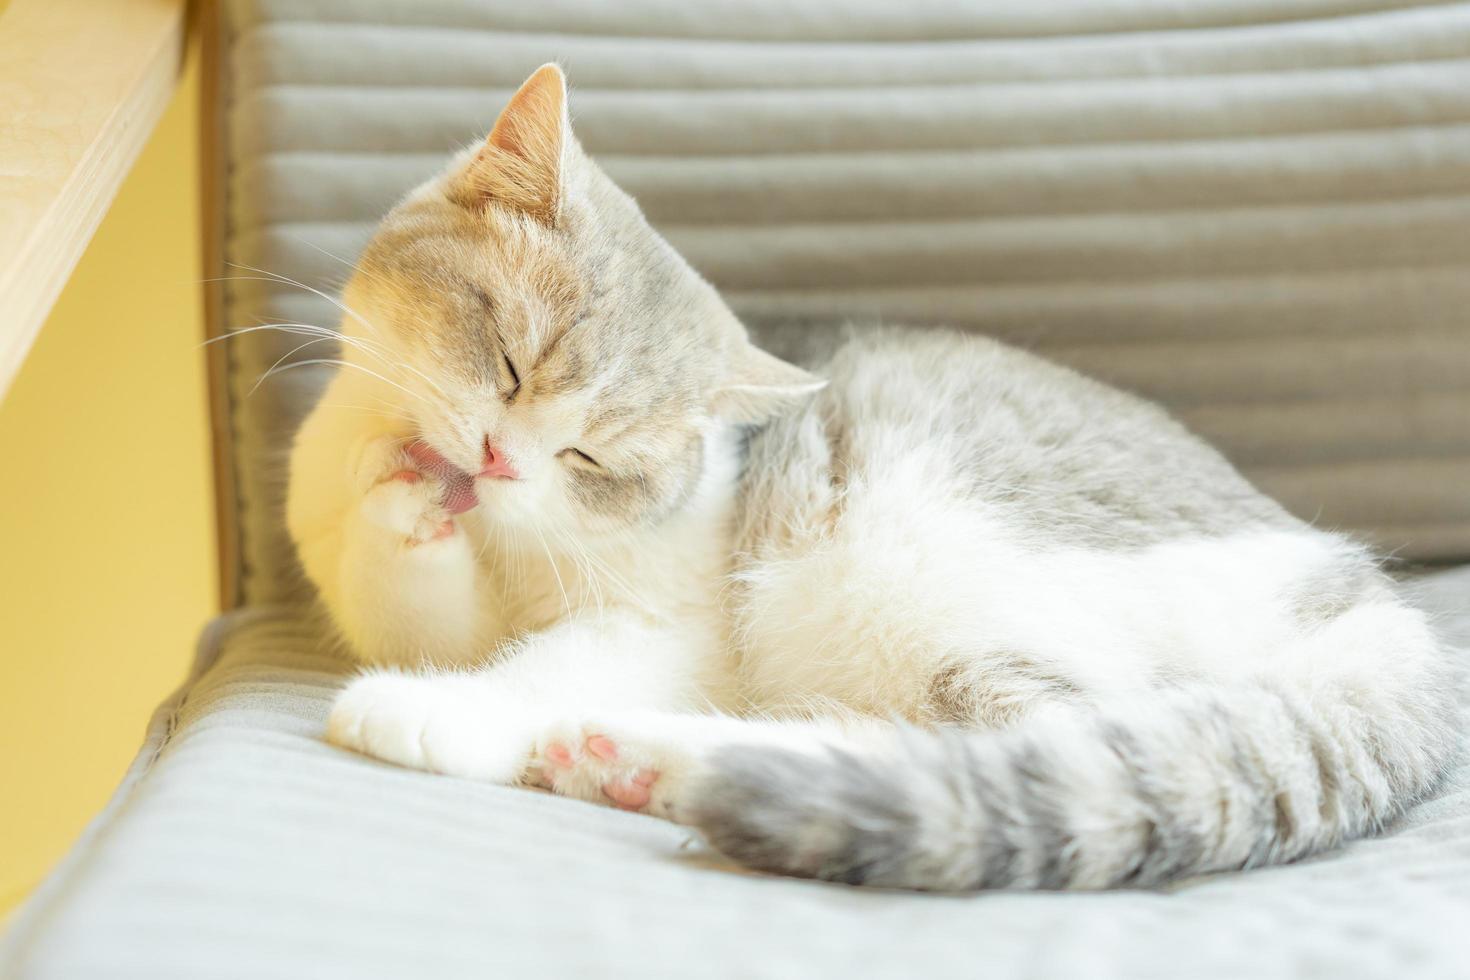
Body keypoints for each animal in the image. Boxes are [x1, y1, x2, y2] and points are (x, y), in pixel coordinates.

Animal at [286, 65, 1458, 893]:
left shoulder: (669, 626)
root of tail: (1364, 592)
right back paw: (630, 765)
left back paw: (640, 754)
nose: (499, 460)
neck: (513, 545)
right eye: (511, 360)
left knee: (1020, 742)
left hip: (917, 555)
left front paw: (442, 709)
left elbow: (541, 663)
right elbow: (410, 600)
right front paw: (404, 499)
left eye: (596, 457)